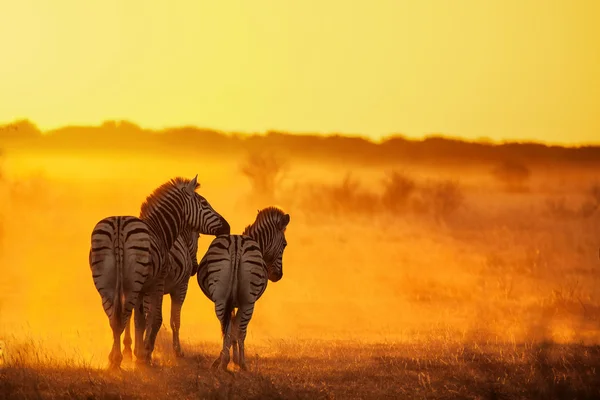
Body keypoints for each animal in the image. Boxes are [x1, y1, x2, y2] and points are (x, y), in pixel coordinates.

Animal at [122, 225, 202, 360]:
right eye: (198, 236)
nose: (194, 269)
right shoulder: (181, 287)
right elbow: (175, 320)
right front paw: (178, 351)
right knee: (149, 316)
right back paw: (145, 349)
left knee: (130, 313)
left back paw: (130, 349)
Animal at [197, 206, 290, 372]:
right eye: (285, 244)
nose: (277, 276)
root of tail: (236, 245)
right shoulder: (241, 302)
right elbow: (237, 331)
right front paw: (236, 361)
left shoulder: (231, 303)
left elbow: (230, 329)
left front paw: (224, 359)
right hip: (249, 301)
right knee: (241, 331)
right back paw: (242, 364)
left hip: (220, 299)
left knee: (226, 327)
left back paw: (224, 362)